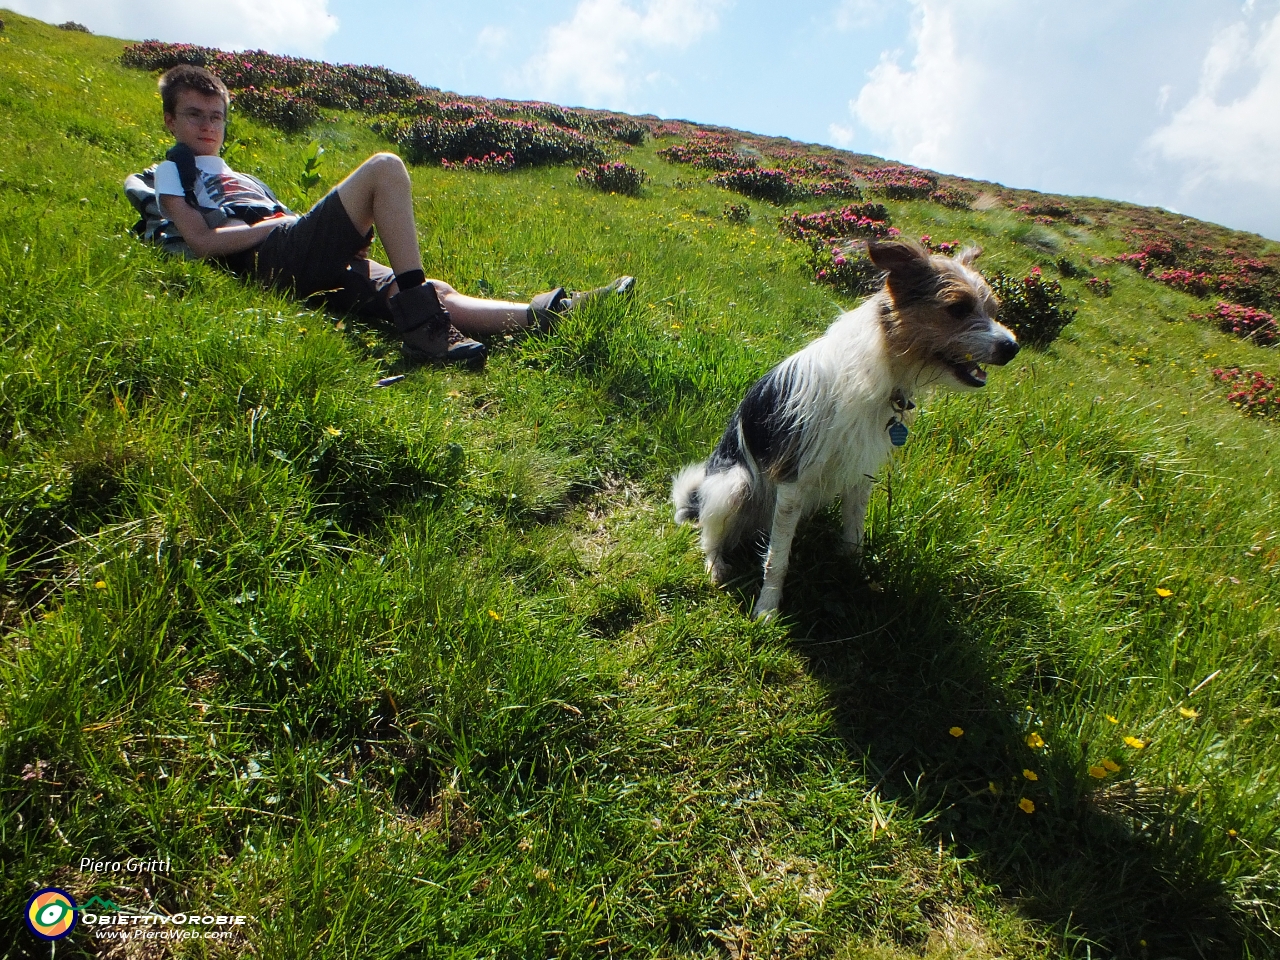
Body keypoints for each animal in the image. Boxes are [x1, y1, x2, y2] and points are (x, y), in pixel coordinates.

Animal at [670, 236, 1018, 619]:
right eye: (958, 309)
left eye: (994, 309)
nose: (1012, 347)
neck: (882, 366)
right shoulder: (793, 478)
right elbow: (777, 559)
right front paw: (767, 610)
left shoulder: (860, 473)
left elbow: (854, 536)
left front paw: (856, 579)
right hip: (733, 485)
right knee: (709, 534)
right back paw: (716, 565)